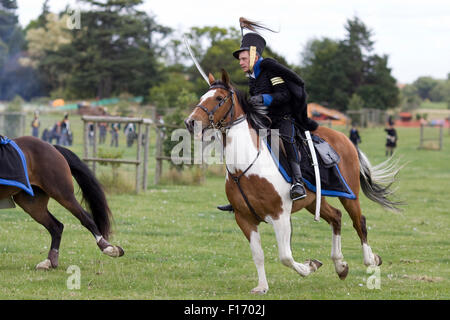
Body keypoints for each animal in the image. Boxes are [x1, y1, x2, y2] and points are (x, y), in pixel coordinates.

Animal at [0, 136, 124, 268]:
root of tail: (52, 147)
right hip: (31, 203)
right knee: (56, 226)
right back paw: (50, 261)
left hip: (62, 192)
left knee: (86, 218)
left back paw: (109, 248)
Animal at [185, 71, 402, 294]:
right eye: (202, 97)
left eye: (219, 98)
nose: (191, 122)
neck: (246, 166)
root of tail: (344, 138)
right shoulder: (244, 219)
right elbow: (258, 255)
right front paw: (262, 287)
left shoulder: (280, 215)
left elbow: (285, 256)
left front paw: (309, 267)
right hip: (314, 200)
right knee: (336, 217)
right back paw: (340, 265)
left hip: (350, 196)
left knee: (360, 222)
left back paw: (370, 260)